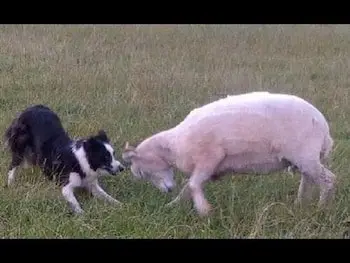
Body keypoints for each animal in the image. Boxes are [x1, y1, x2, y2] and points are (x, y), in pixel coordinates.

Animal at [121, 92, 334, 218]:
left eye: (140, 172)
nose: (167, 191)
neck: (173, 146)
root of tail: (323, 125)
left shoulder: (210, 158)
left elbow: (192, 185)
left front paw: (204, 211)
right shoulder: (206, 168)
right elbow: (188, 188)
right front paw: (171, 206)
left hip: (306, 156)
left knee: (328, 180)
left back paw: (321, 209)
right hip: (301, 159)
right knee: (308, 180)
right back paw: (300, 204)